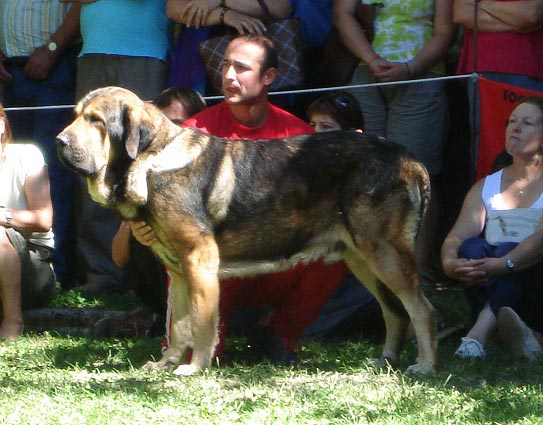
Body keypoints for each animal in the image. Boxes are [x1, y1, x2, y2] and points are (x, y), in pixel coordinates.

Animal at [55, 86, 438, 374]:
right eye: (75, 115)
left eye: (96, 121)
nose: (59, 141)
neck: (152, 159)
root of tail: (408, 157)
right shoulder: (178, 272)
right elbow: (178, 326)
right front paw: (166, 364)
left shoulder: (199, 262)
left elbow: (202, 323)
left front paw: (194, 368)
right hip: (362, 259)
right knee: (395, 312)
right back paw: (385, 360)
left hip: (384, 255)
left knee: (422, 309)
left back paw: (425, 366)